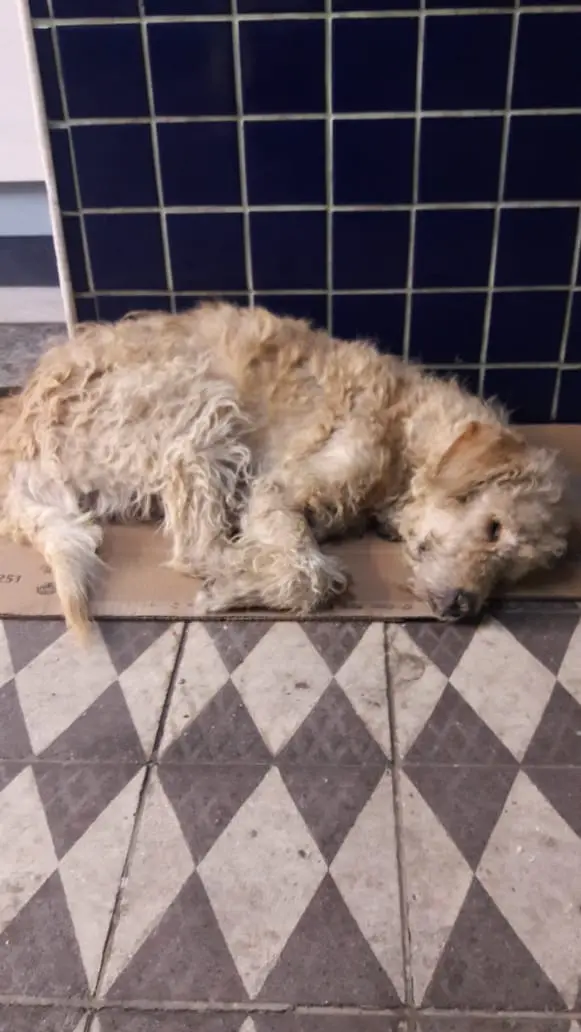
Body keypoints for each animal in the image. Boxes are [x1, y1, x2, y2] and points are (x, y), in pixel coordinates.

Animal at [0, 301, 569, 635]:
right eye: (494, 528)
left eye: (513, 571)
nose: (463, 608)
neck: (406, 431)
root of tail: (24, 425)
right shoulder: (280, 488)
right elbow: (310, 575)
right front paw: (249, 584)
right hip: (203, 406)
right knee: (197, 548)